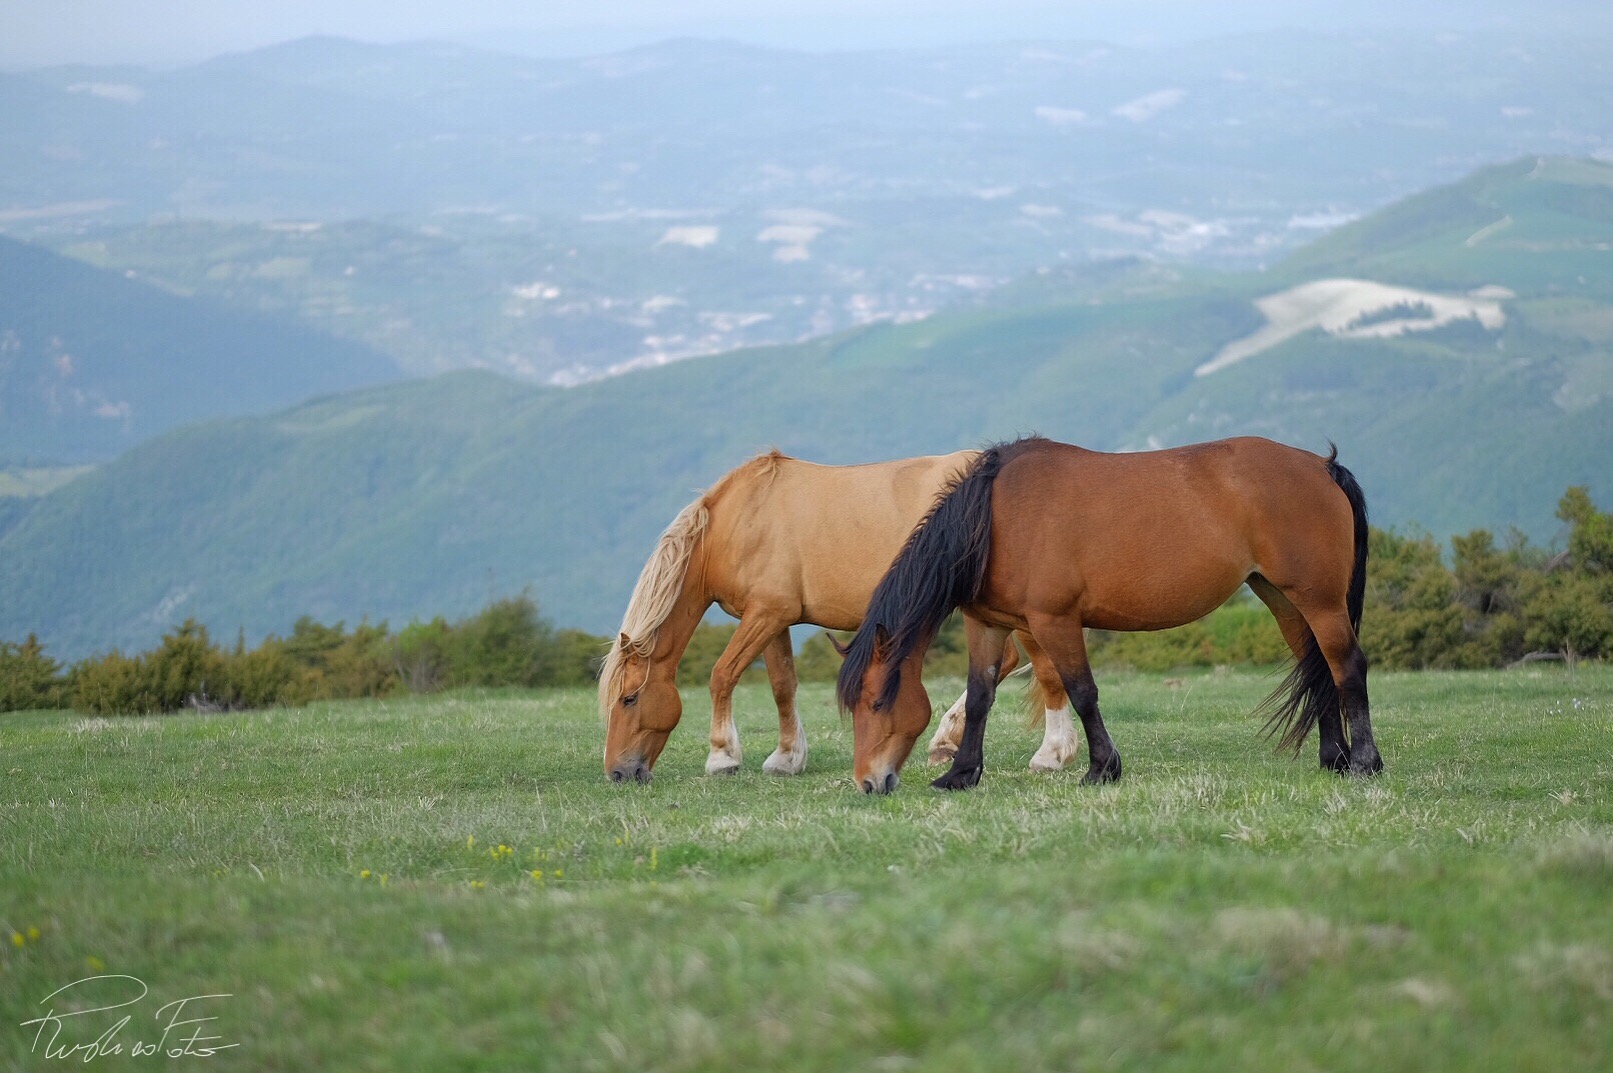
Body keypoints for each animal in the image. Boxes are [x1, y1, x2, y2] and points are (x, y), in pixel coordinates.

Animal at [601, 450, 1081, 783]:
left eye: (629, 699)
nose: (618, 773)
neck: (738, 523)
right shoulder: (773, 618)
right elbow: (782, 685)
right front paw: (786, 758)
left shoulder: (765, 614)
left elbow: (723, 675)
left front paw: (722, 757)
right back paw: (948, 743)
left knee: (1042, 667)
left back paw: (1051, 753)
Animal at [836, 435, 1380, 794]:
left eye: (876, 702)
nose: (868, 782)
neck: (995, 515)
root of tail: (1321, 466)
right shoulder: (987, 624)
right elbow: (980, 696)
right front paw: (960, 774)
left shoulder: (1055, 621)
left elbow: (1082, 691)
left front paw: (1102, 769)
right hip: (1285, 600)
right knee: (1318, 668)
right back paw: (1333, 758)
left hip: (1319, 601)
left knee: (1346, 667)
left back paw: (1364, 763)